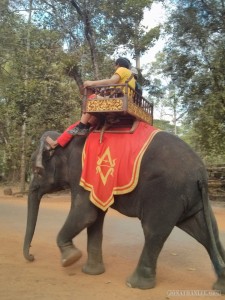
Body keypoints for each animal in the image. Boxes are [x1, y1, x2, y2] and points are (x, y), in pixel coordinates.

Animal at [23, 127, 225, 292]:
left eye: (37, 171)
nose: (32, 257)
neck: (63, 142)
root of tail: (201, 173)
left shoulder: (81, 172)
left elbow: (85, 214)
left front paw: (70, 258)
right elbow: (95, 218)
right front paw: (92, 272)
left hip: (166, 193)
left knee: (154, 232)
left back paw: (135, 284)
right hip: (192, 198)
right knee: (207, 232)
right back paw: (219, 286)